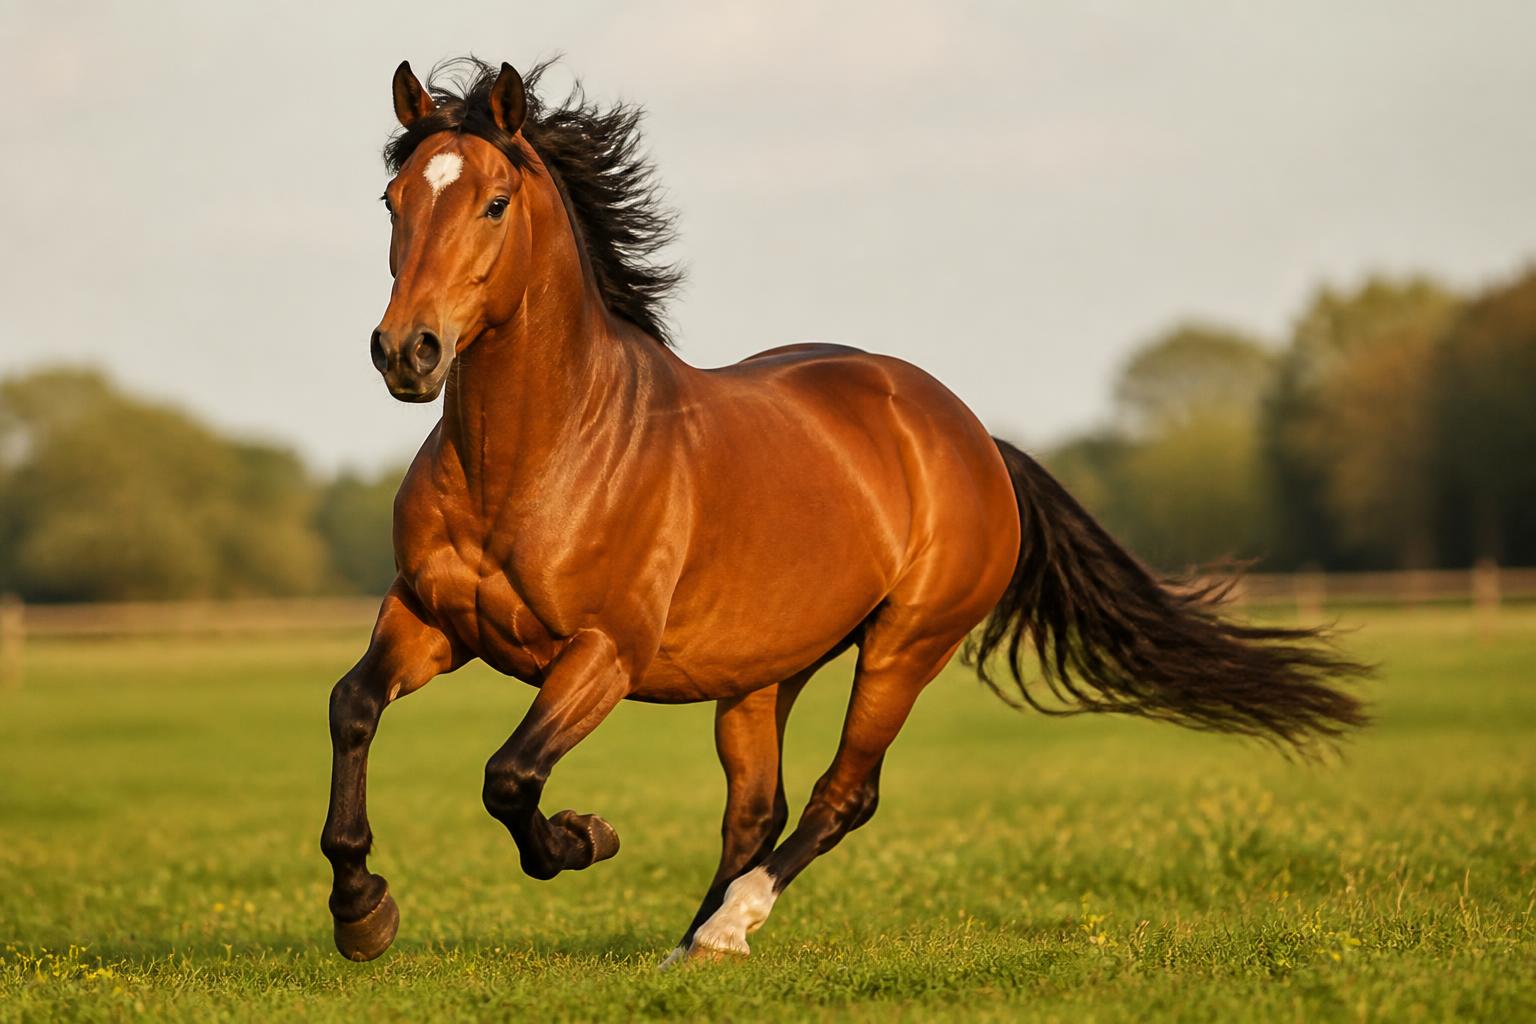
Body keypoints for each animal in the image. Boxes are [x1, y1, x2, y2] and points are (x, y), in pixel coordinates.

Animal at [320, 57, 1368, 965]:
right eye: (394, 200)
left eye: (495, 203)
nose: (406, 352)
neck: (539, 456)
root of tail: (974, 439)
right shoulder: (430, 618)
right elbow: (354, 708)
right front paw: (361, 910)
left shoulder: (602, 653)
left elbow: (511, 777)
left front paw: (585, 837)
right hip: (764, 672)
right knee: (759, 806)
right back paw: (685, 946)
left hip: (906, 645)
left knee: (842, 793)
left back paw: (726, 928)